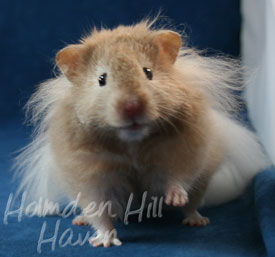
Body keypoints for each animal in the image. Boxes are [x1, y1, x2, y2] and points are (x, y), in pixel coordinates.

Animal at [15, 18, 270, 246]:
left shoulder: (184, 152)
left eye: (148, 72)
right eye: (101, 79)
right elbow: (99, 213)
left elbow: (177, 177)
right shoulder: (89, 177)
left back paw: (196, 220)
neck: (132, 143)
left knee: (193, 203)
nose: (132, 107)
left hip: (203, 180)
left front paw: (175, 199)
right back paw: (80, 220)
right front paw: (104, 243)